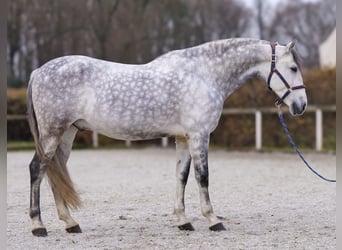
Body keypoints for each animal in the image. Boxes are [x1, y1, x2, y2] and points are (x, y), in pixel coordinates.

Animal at [26, 37, 306, 236]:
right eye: (293, 67)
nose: (301, 105)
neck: (205, 74)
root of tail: (38, 71)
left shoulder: (183, 138)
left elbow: (181, 176)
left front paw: (183, 221)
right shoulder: (199, 135)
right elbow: (202, 177)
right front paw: (213, 220)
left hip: (66, 133)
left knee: (54, 171)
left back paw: (70, 223)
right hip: (52, 134)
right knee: (37, 169)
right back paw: (38, 226)